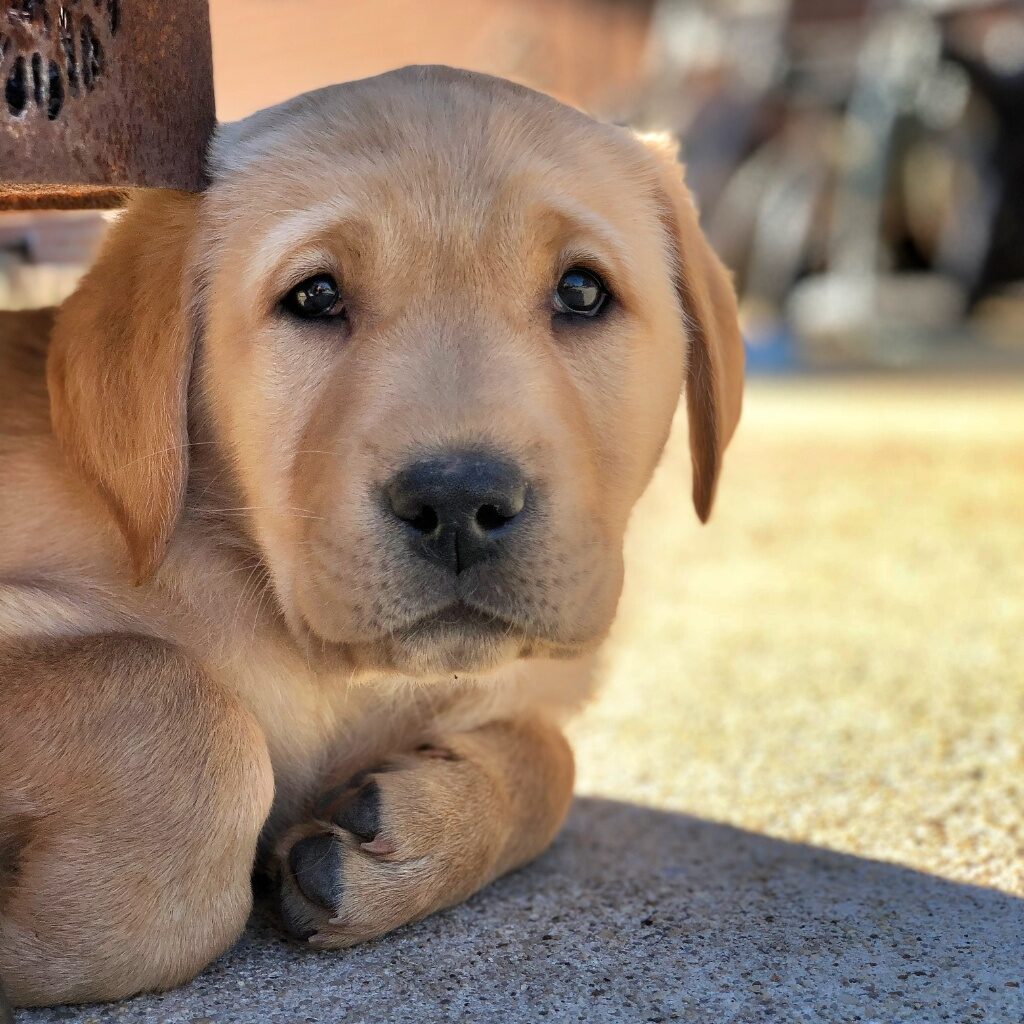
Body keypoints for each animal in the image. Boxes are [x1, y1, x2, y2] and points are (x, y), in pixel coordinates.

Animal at [0, 66, 741, 1007]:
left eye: (582, 292)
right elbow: (182, 708)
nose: (459, 502)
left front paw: (429, 820)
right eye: (315, 296)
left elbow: (555, 756)